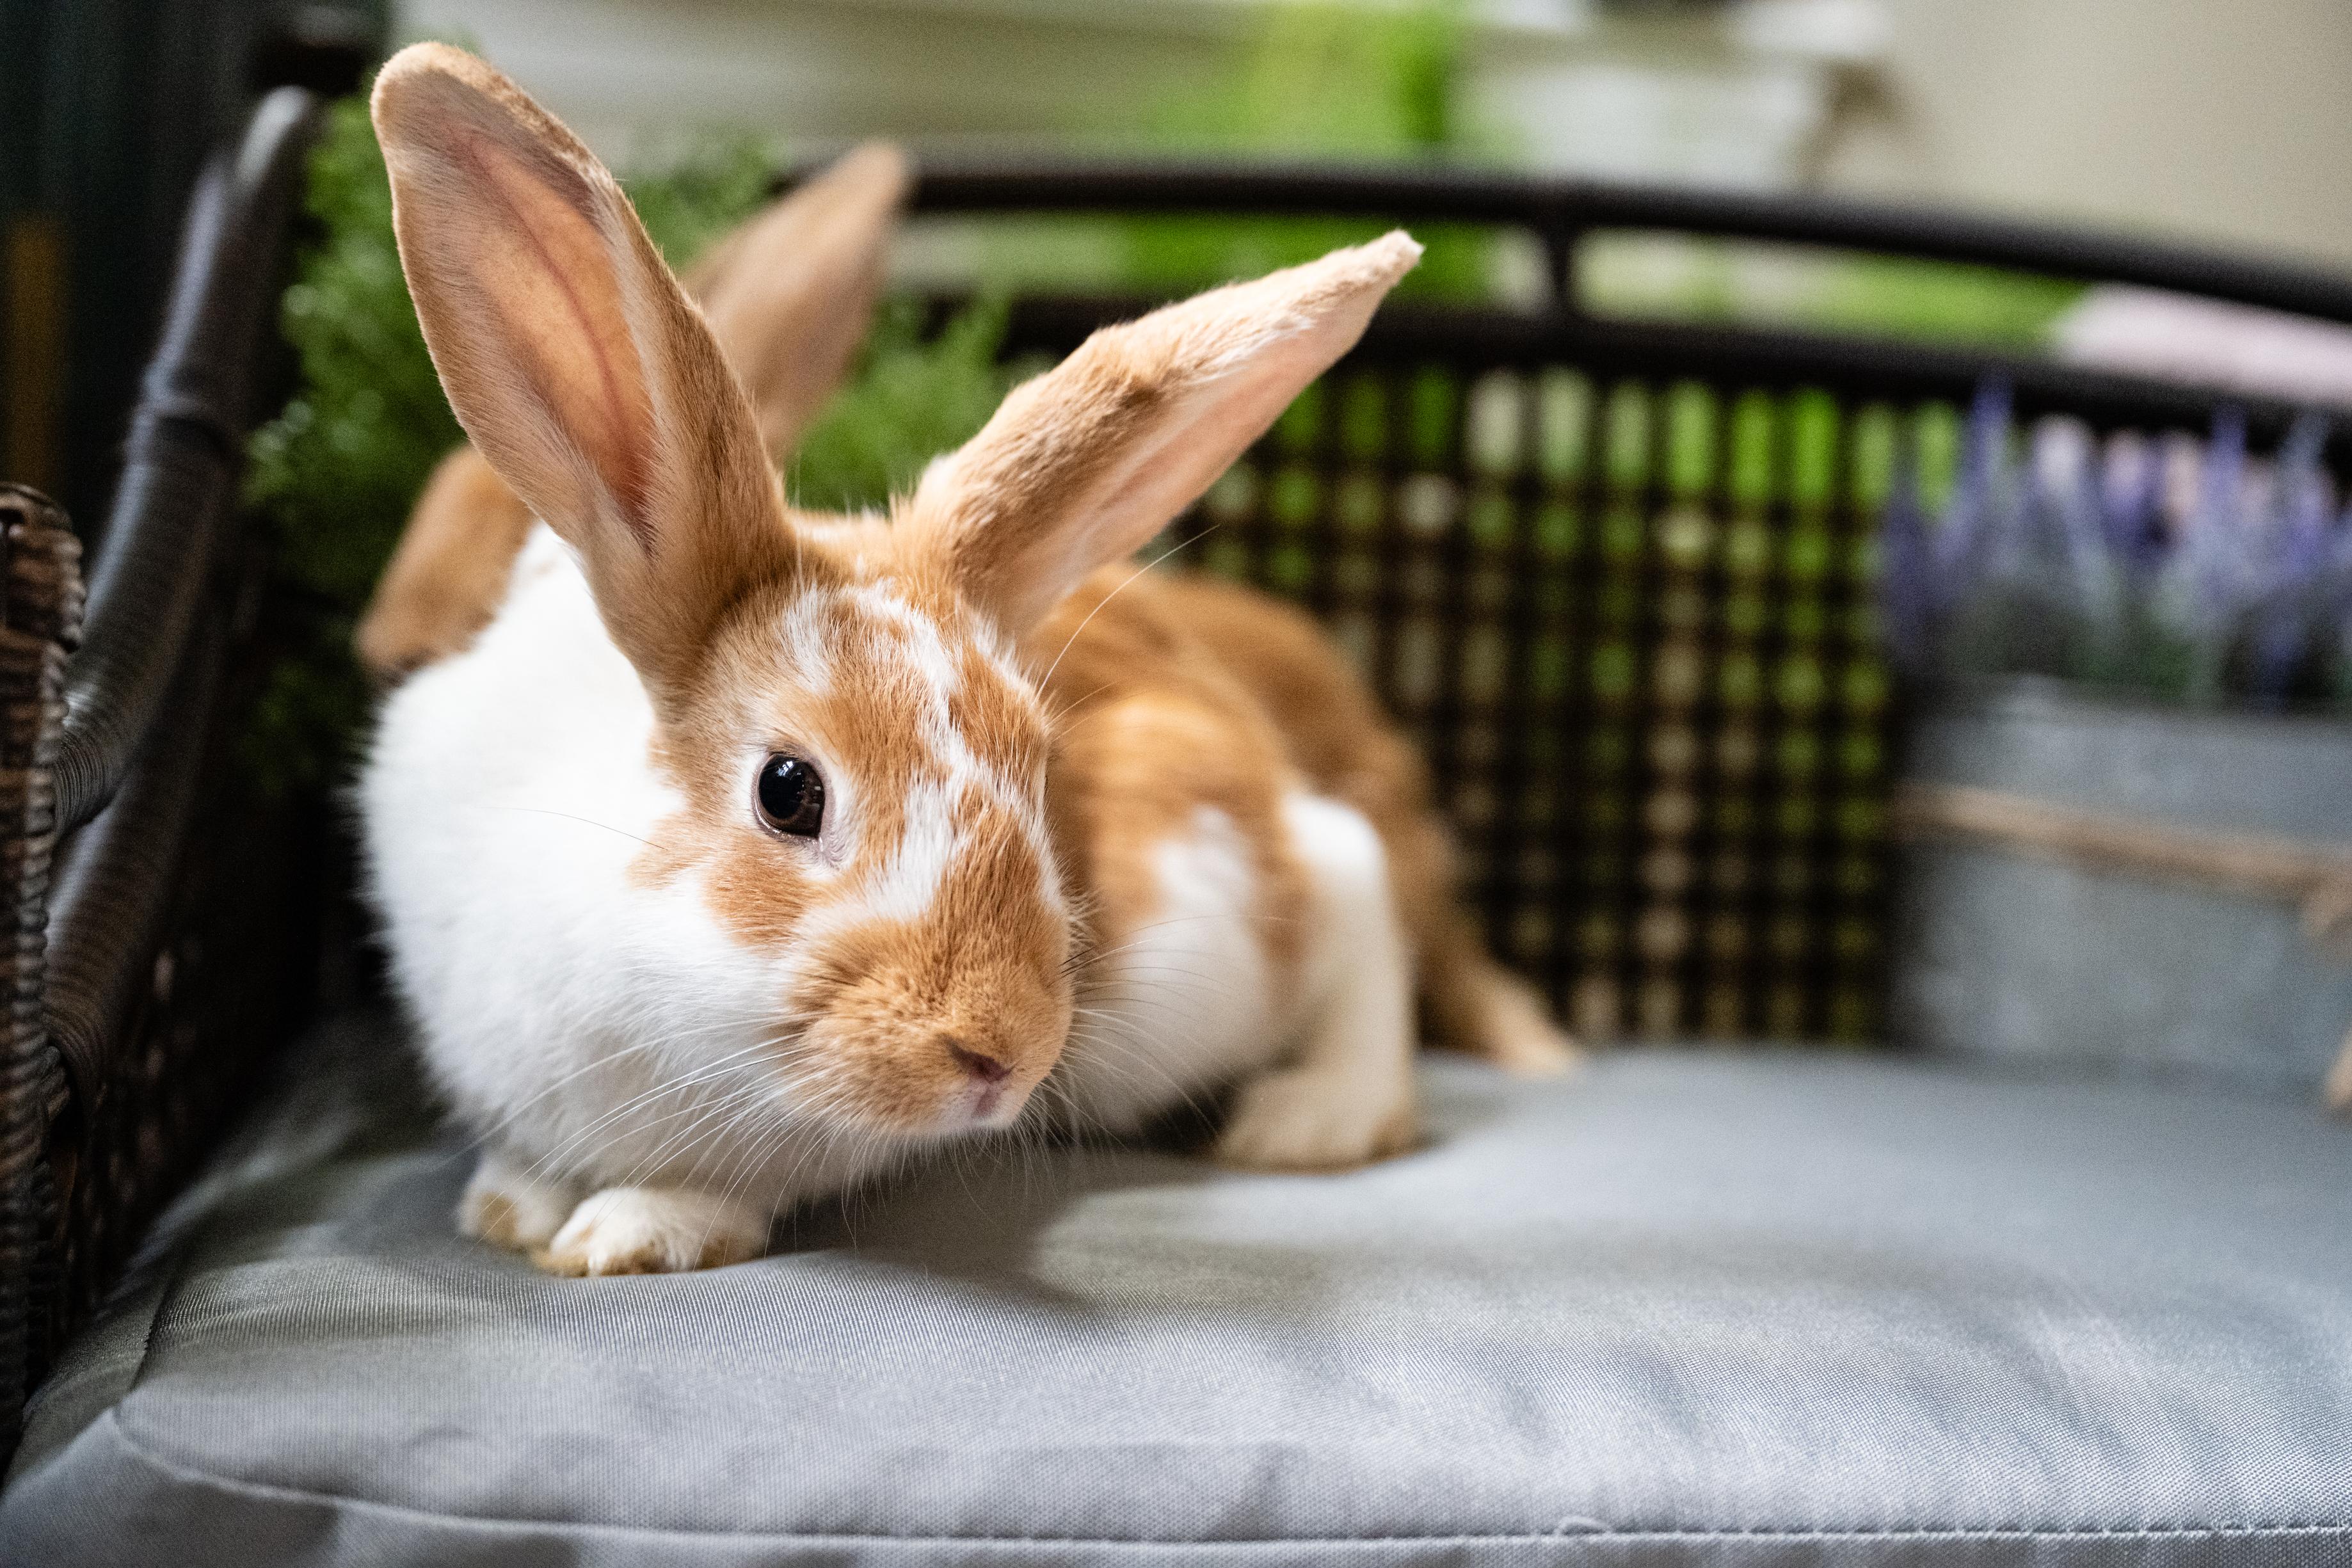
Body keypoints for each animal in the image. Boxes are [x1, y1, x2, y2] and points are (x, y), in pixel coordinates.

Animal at [361, 43, 1573, 1277]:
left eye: (1041, 769)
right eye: (787, 790)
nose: (1006, 1055)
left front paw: (632, 1232)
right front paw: (513, 1207)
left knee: (1353, 882)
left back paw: (1310, 1120)